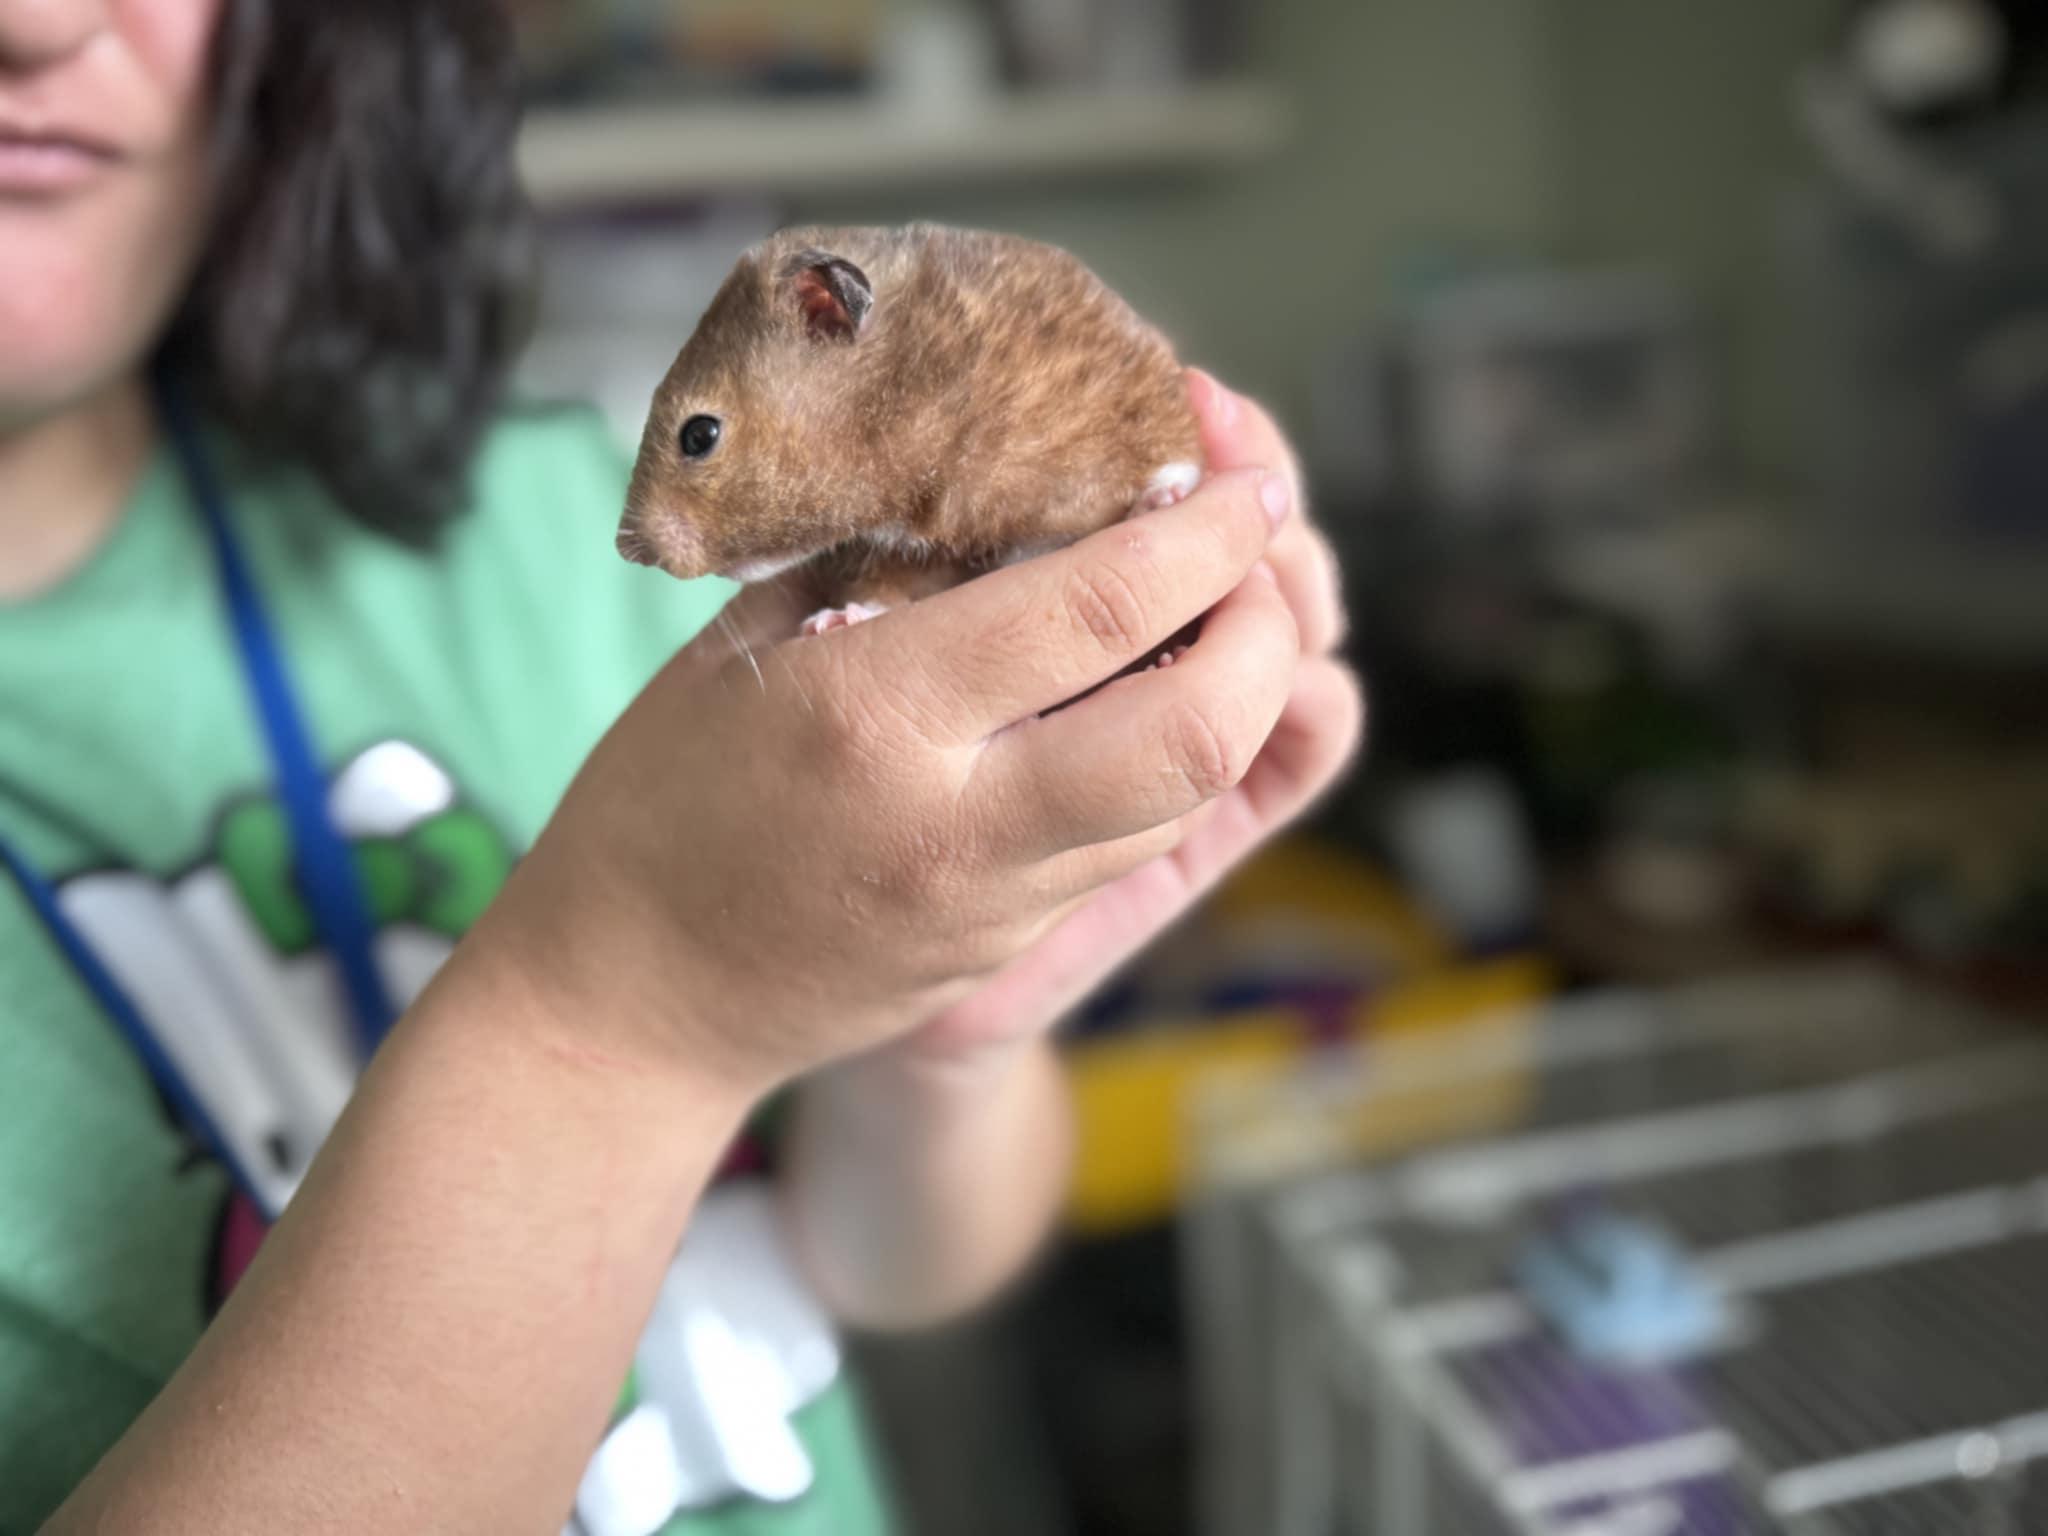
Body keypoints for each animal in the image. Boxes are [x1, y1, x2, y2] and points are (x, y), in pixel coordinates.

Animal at [618, 223, 1204, 632]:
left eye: (699, 435)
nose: (630, 552)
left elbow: (1167, 457)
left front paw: (1163, 499)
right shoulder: (893, 551)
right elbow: (885, 588)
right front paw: (830, 622)